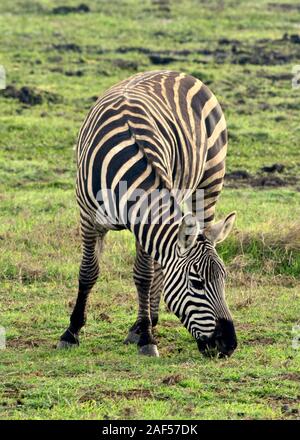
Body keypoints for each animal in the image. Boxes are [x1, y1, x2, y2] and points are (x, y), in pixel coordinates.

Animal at [57, 69, 238, 358]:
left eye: (224, 279)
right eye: (197, 283)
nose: (228, 346)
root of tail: (177, 72)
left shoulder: (145, 220)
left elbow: (144, 276)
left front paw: (146, 337)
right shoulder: (87, 216)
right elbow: (88, 271)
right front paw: (71, 332)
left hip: (210, 180)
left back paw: (147, 323)